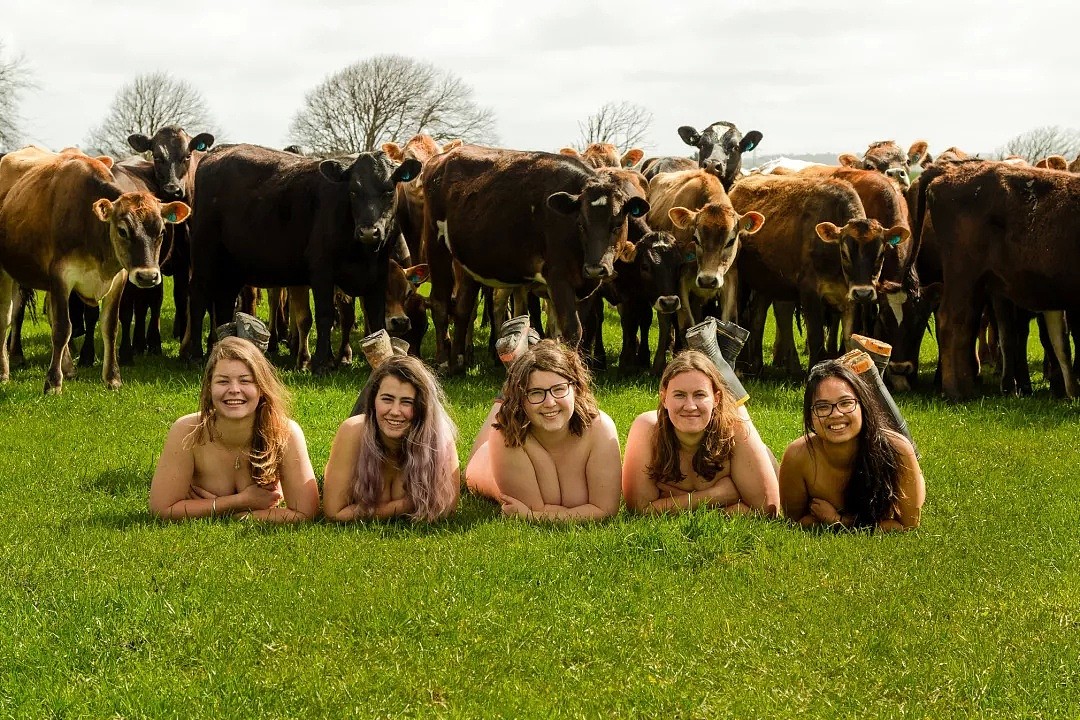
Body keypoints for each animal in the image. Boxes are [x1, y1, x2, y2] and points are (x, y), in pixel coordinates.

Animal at [0, 152, 187, 395]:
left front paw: (112, 378)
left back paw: (68, 368)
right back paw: (4, 372)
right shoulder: (61, 277)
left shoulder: (118, 280)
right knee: (6, 316)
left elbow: (110, 327)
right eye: (122, 230)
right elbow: (62, 328)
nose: (147, 277)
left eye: (162, 231)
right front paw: (53, 383)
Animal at [730, 174, 907, 377]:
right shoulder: (809, 293)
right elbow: (816, 338)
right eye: (844, 253)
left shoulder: (849, 299)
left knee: (758, 317)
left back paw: (757, 366)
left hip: (766, 284)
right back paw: (741, 367)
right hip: (741, 281)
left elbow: (849, 339)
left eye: (880, 254)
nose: (864, 293)